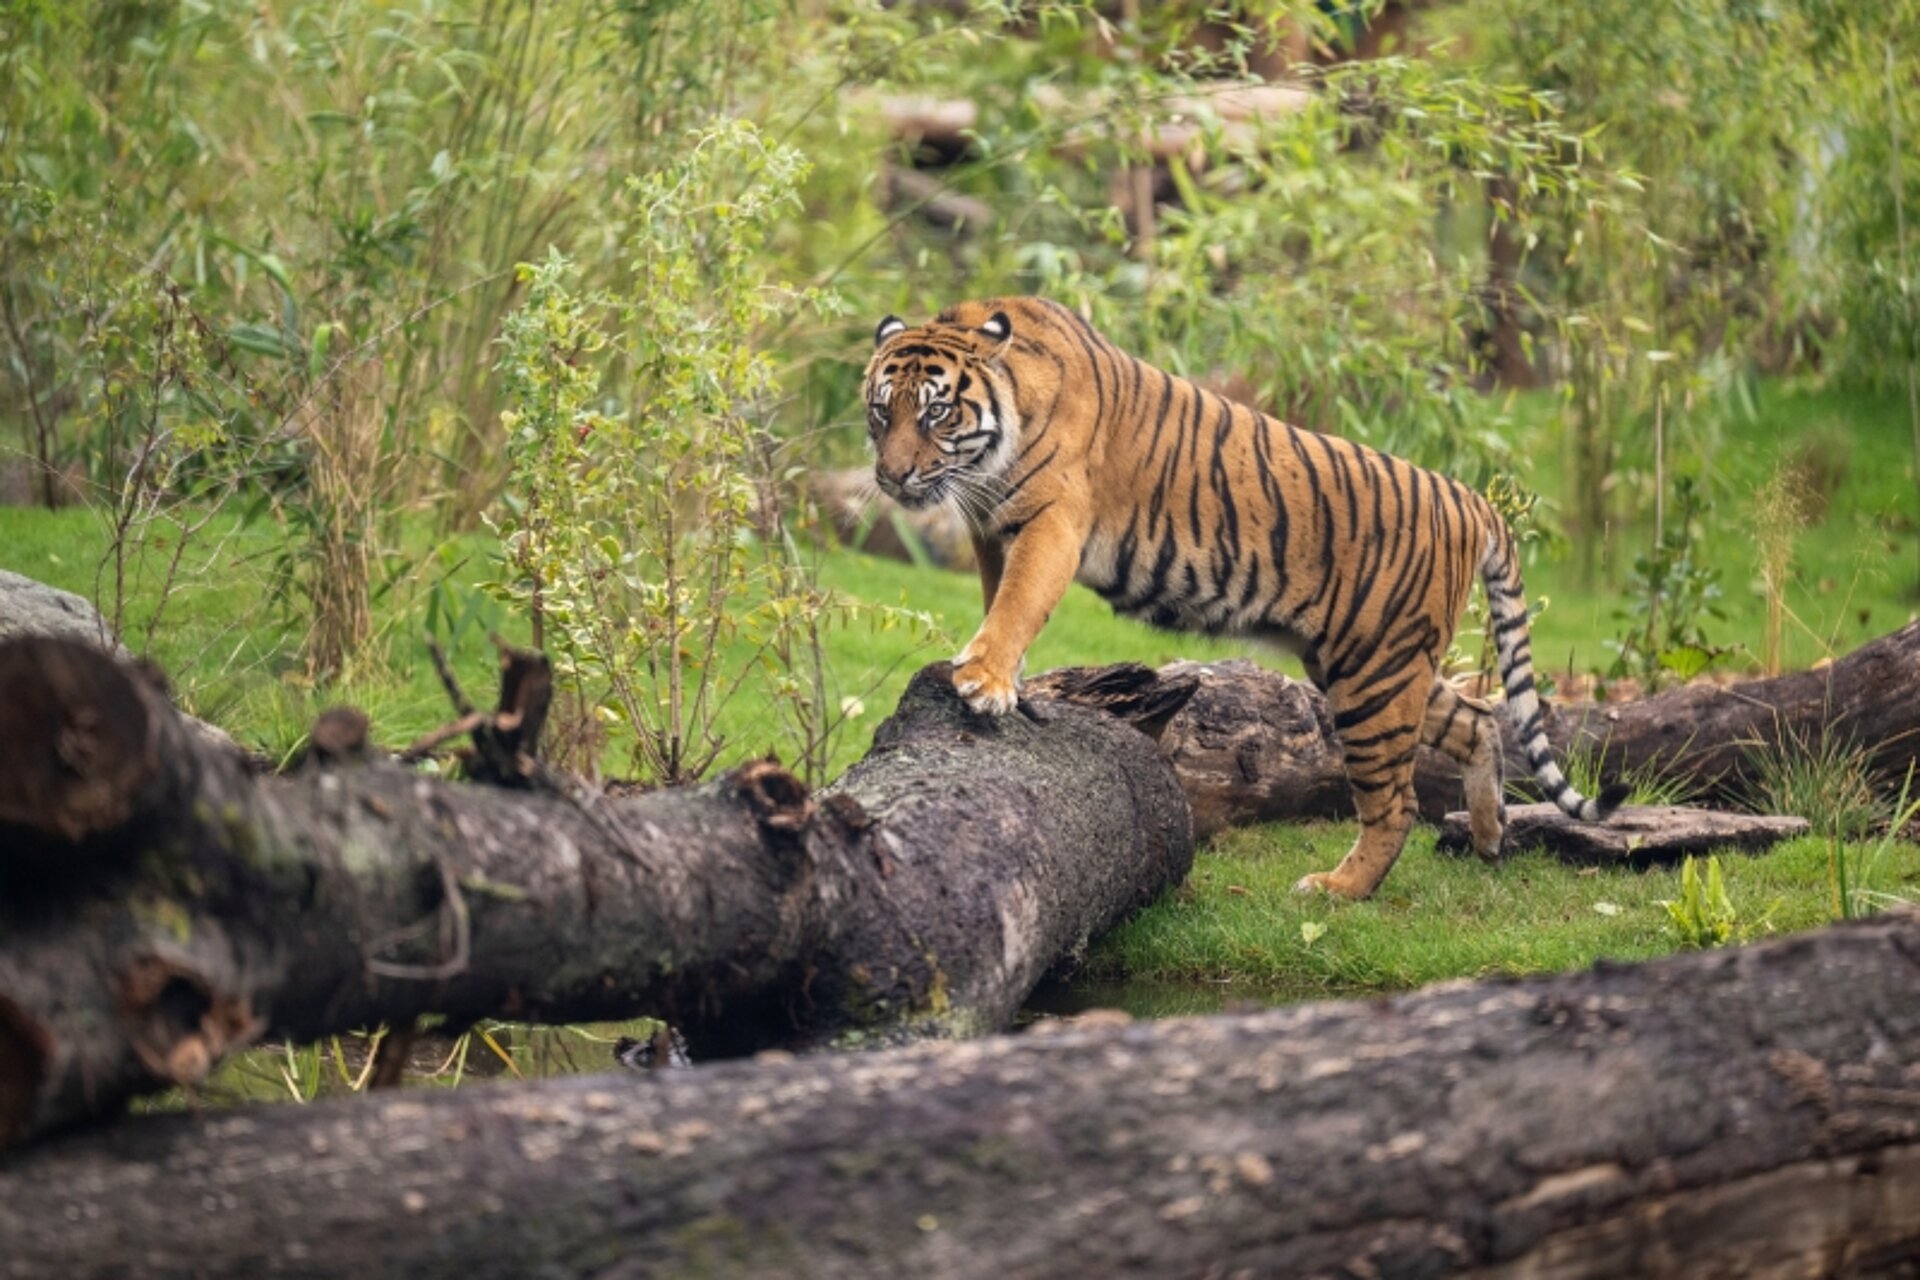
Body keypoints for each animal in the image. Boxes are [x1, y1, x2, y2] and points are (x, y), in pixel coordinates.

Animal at [861, 295, 1626, 900]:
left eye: (936, 413)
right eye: (879, 412)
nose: (893, 477)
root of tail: (1468, 497)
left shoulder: (1050, 520)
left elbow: (1017, 604)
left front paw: (985, 681)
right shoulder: (992, 527)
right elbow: (1000, 602)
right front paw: (1007, 681)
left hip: (1372, 677)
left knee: (1396, 802)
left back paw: (1339, 889)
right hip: (1382, 663)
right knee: (1479, 719)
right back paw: (1491, 840)